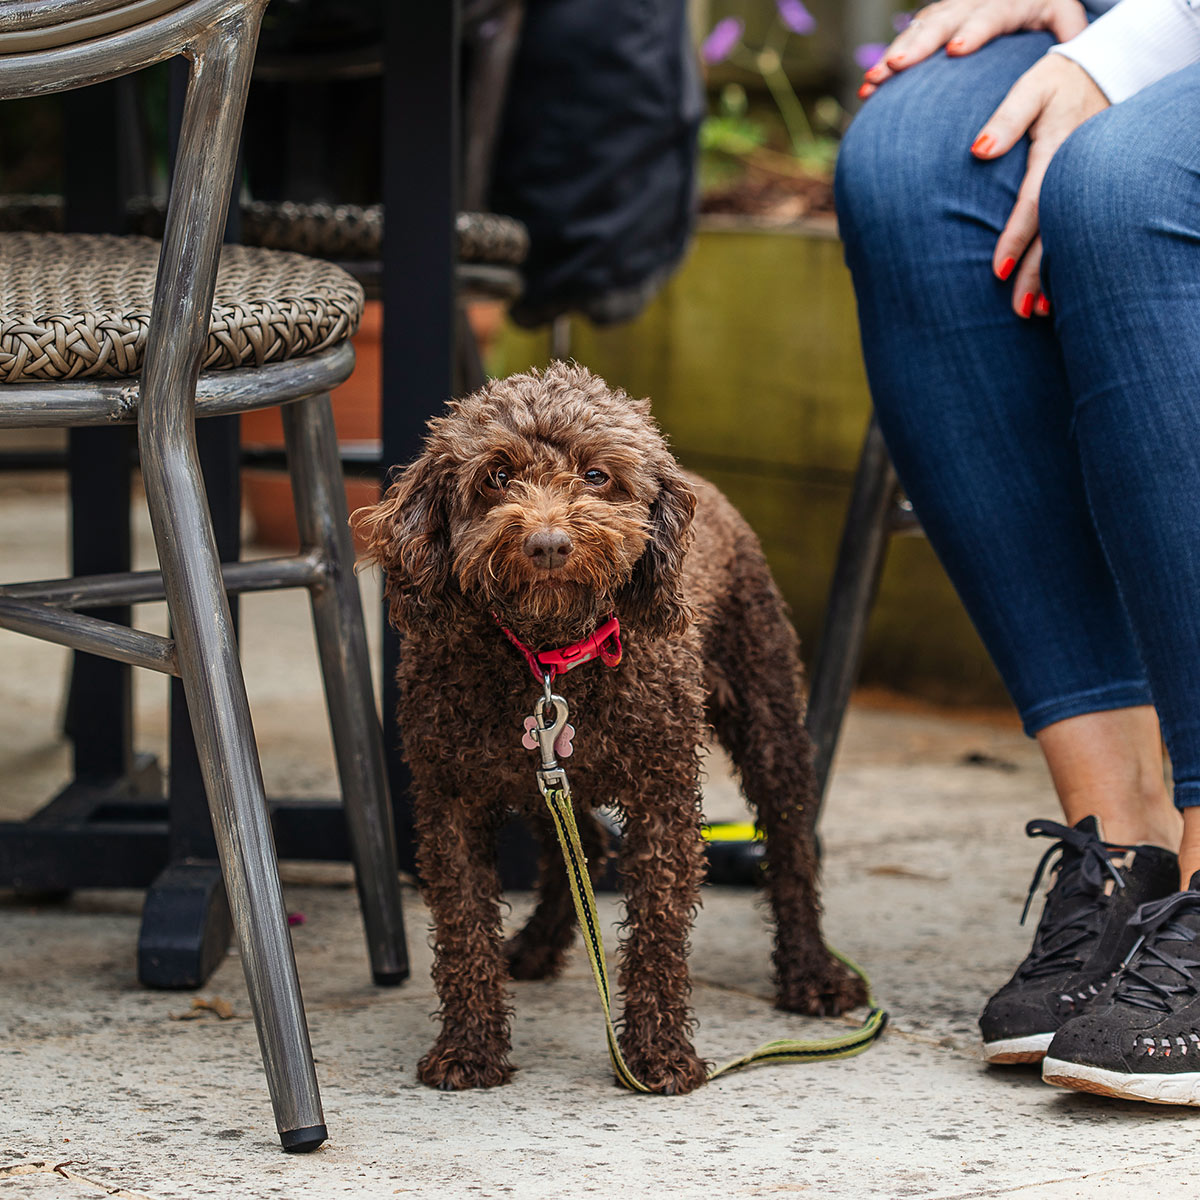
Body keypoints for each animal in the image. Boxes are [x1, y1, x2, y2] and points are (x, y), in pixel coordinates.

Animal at [354, 362, 867, 1094]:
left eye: (597, 475)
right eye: (497, 475)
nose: (547, 543)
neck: (550, 658)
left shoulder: (663, 794)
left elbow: (658, 926)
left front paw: (657, 1053)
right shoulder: (451, 796)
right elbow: (462, 926)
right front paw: (470, 1047)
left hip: (768, 715)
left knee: (792, 850)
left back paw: (813, 972)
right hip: (537, 779)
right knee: (587, 843)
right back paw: (539, 942)